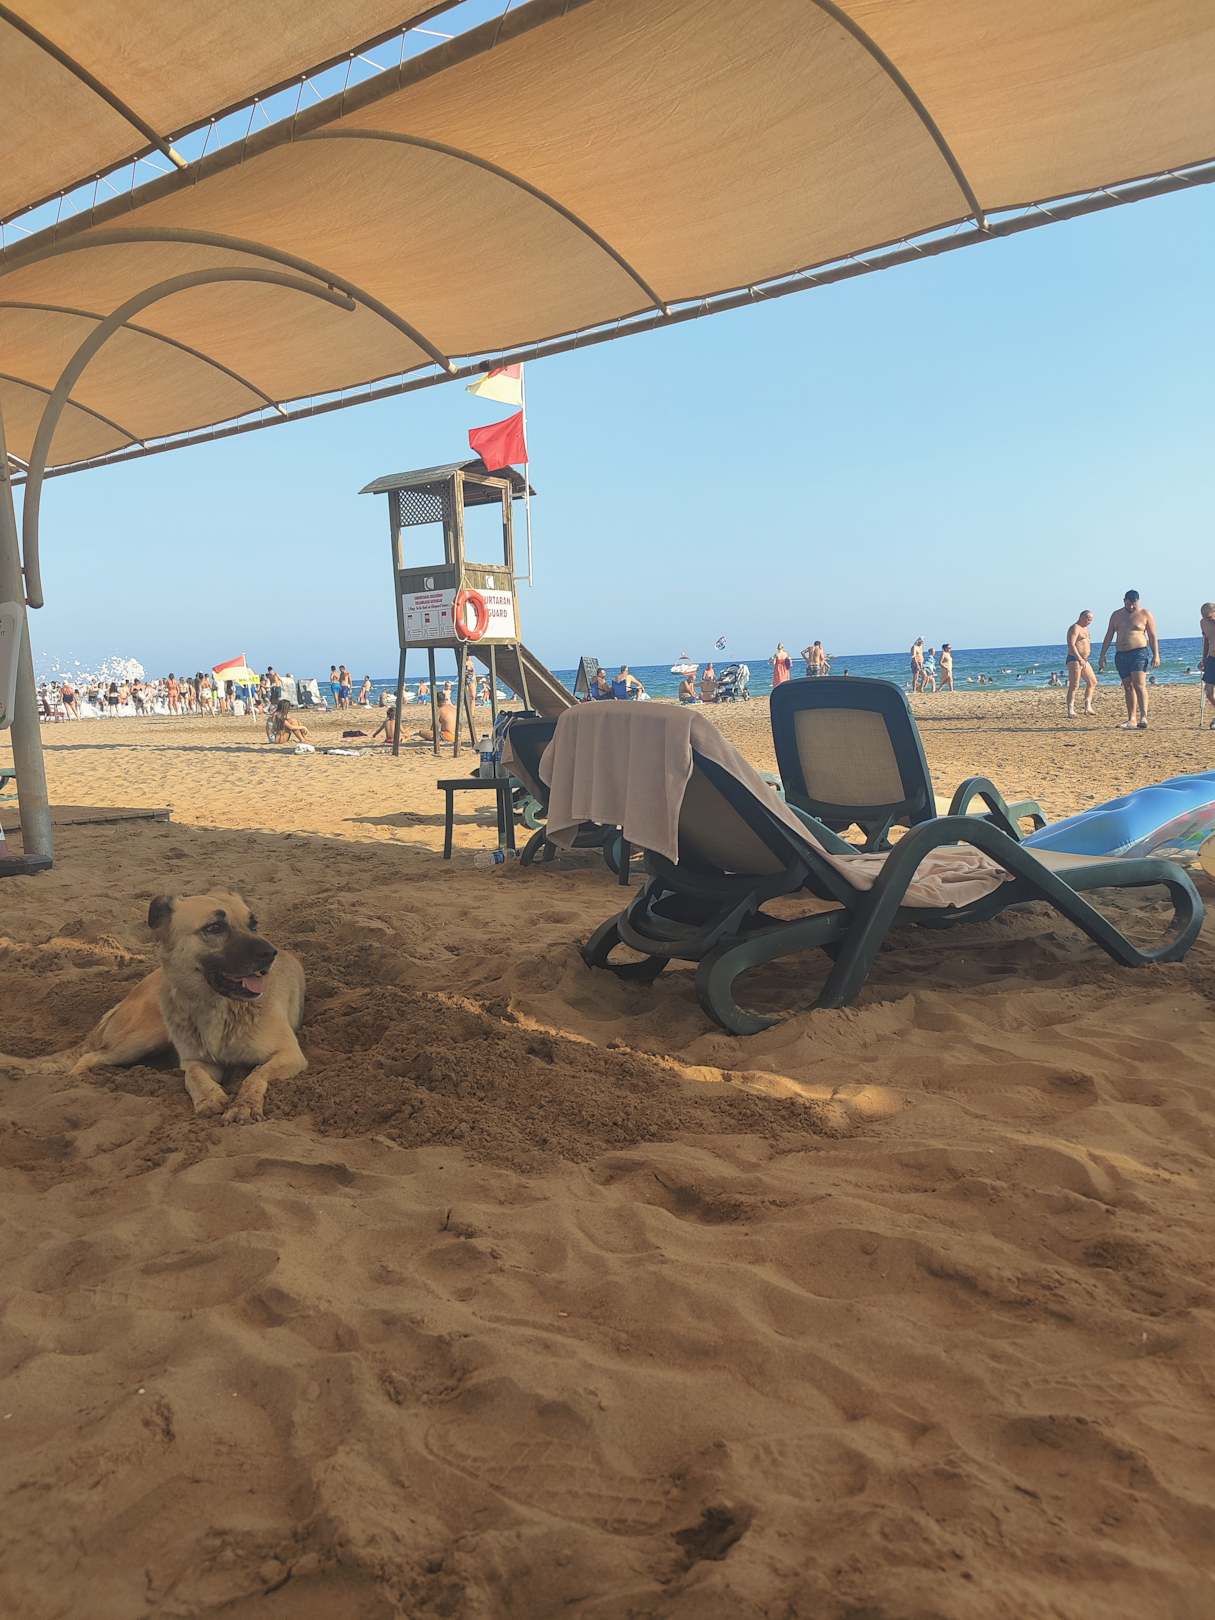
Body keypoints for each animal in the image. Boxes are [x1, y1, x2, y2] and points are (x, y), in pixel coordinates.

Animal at [43, 890, 306, 1122]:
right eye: (214, 927)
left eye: (253, 924)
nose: (270, 954)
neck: (216, 1006)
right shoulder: (196, 1061)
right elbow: (193, 1075)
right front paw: (209, 1098)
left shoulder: (290, 1055)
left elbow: (256, 1074)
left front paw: (244, 1105)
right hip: (145, 1037)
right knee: (88, 1058)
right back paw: (77, 1081)